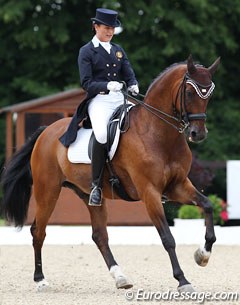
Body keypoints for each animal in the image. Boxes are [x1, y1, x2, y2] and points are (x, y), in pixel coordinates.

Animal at [1, 55, 219, 292]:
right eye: (189, 92)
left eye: (209, 94)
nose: (198, 134)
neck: (157, 133)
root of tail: (45, 132)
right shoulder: (149, 192)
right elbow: (167, 238)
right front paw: (183, 280)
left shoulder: (177, 186)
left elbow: (207, 205)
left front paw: (202, 255)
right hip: (47, 191)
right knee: (38, 231)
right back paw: (40, 279)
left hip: (88, 195)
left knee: (99, 236)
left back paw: (120, 277)